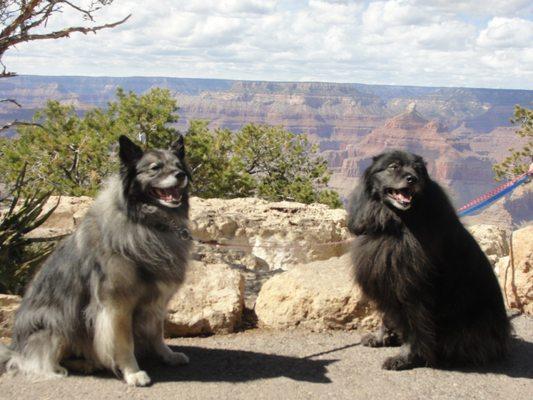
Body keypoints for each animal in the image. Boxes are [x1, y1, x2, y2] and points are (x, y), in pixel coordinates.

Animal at [0, 136, 191, 386]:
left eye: (178, 165)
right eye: (155, 168)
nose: (181, 175)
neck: (147, 223)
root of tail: (16, 348)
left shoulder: (156, 300)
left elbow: (157, 332)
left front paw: (166, 355)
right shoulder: (115, 305)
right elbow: (123, 342)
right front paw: (132, 372)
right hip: (58, 321)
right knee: (42, 361)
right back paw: (83, 364)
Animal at [348, 152, 510, 370]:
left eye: (418, 169)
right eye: (393, 166)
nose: (412, 179)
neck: (397, 224)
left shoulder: (412, 289)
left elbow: (415, 327)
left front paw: (405, 357)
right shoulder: (389, 282)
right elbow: (386, 317)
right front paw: (381, 337)